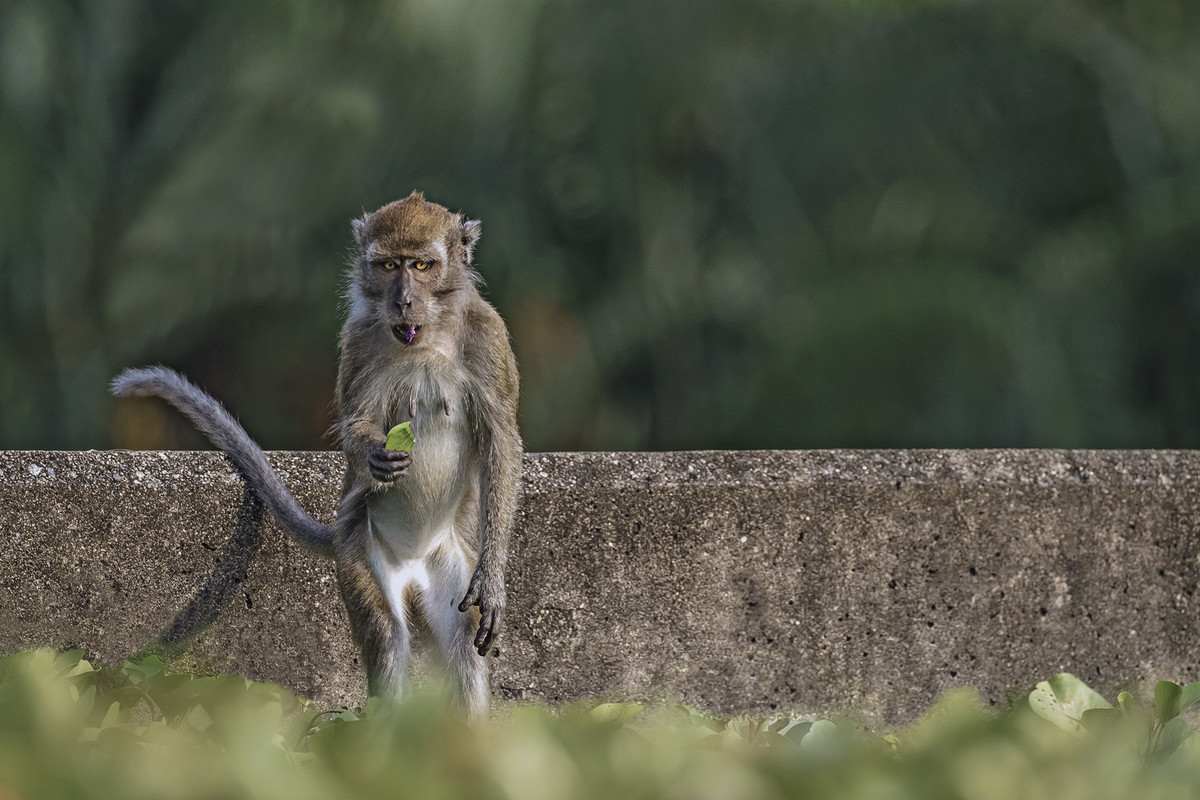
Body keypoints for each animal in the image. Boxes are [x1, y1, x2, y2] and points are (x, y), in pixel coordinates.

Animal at [112, 191, 520, 719]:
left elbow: (500, 440)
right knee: (387, 636)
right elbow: (356, 421)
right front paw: (373, 454)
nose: (403, 300)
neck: (426, 338)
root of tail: (413, 563)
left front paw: (492, 579)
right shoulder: (359, 339)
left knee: (462, 646)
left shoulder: (489, 338)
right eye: (389, 265)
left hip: (448, 567)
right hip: (359, 553)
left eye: (422, 265)